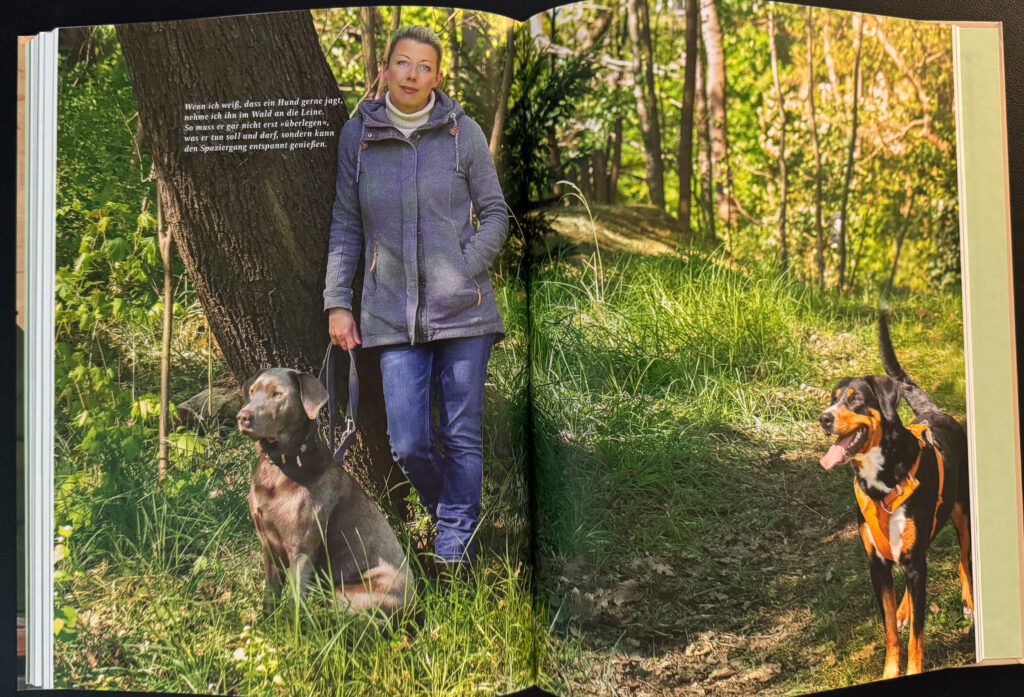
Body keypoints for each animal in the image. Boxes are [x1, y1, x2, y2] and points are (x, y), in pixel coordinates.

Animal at [235, 366, 411, 618]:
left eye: (276, 394)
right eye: (252, 392)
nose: (242, 417)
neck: (283, 465)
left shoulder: (301, 549)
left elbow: (294, 603)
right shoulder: (268, 544)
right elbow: (270, 594)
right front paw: (266, 624)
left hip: (346, 593)